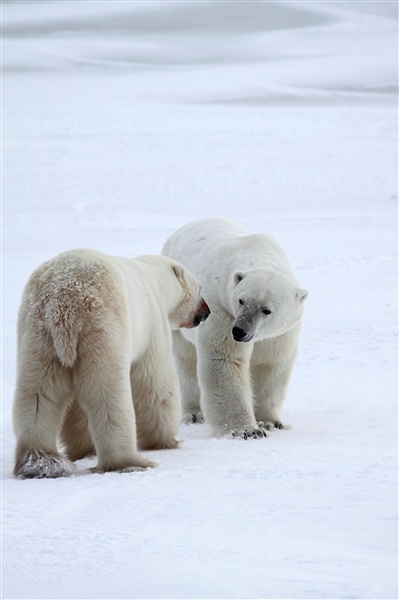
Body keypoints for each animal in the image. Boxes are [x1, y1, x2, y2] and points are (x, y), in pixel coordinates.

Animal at [12, 248, 211, 478]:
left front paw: (83, 449)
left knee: (38, 393)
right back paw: (127, 462)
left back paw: (41, 462)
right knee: (106, 393)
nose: (207, 311)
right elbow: (155, 384)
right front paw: (167, 441)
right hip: (102, 328)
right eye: (200, 288)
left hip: (38, 334)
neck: (154, 278)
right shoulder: (153, 322)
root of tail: (63, 304)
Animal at [162, 218, 310, 438]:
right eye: (241, 300)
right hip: (181, 313)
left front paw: (270, 422)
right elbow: (225, 360)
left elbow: (270, 364)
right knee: (186, 359)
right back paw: (194, 414)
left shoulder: (281, 332)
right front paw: (246, 431)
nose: (239, 331)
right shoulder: (221, 310)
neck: (256, 252)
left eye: (266, 310)